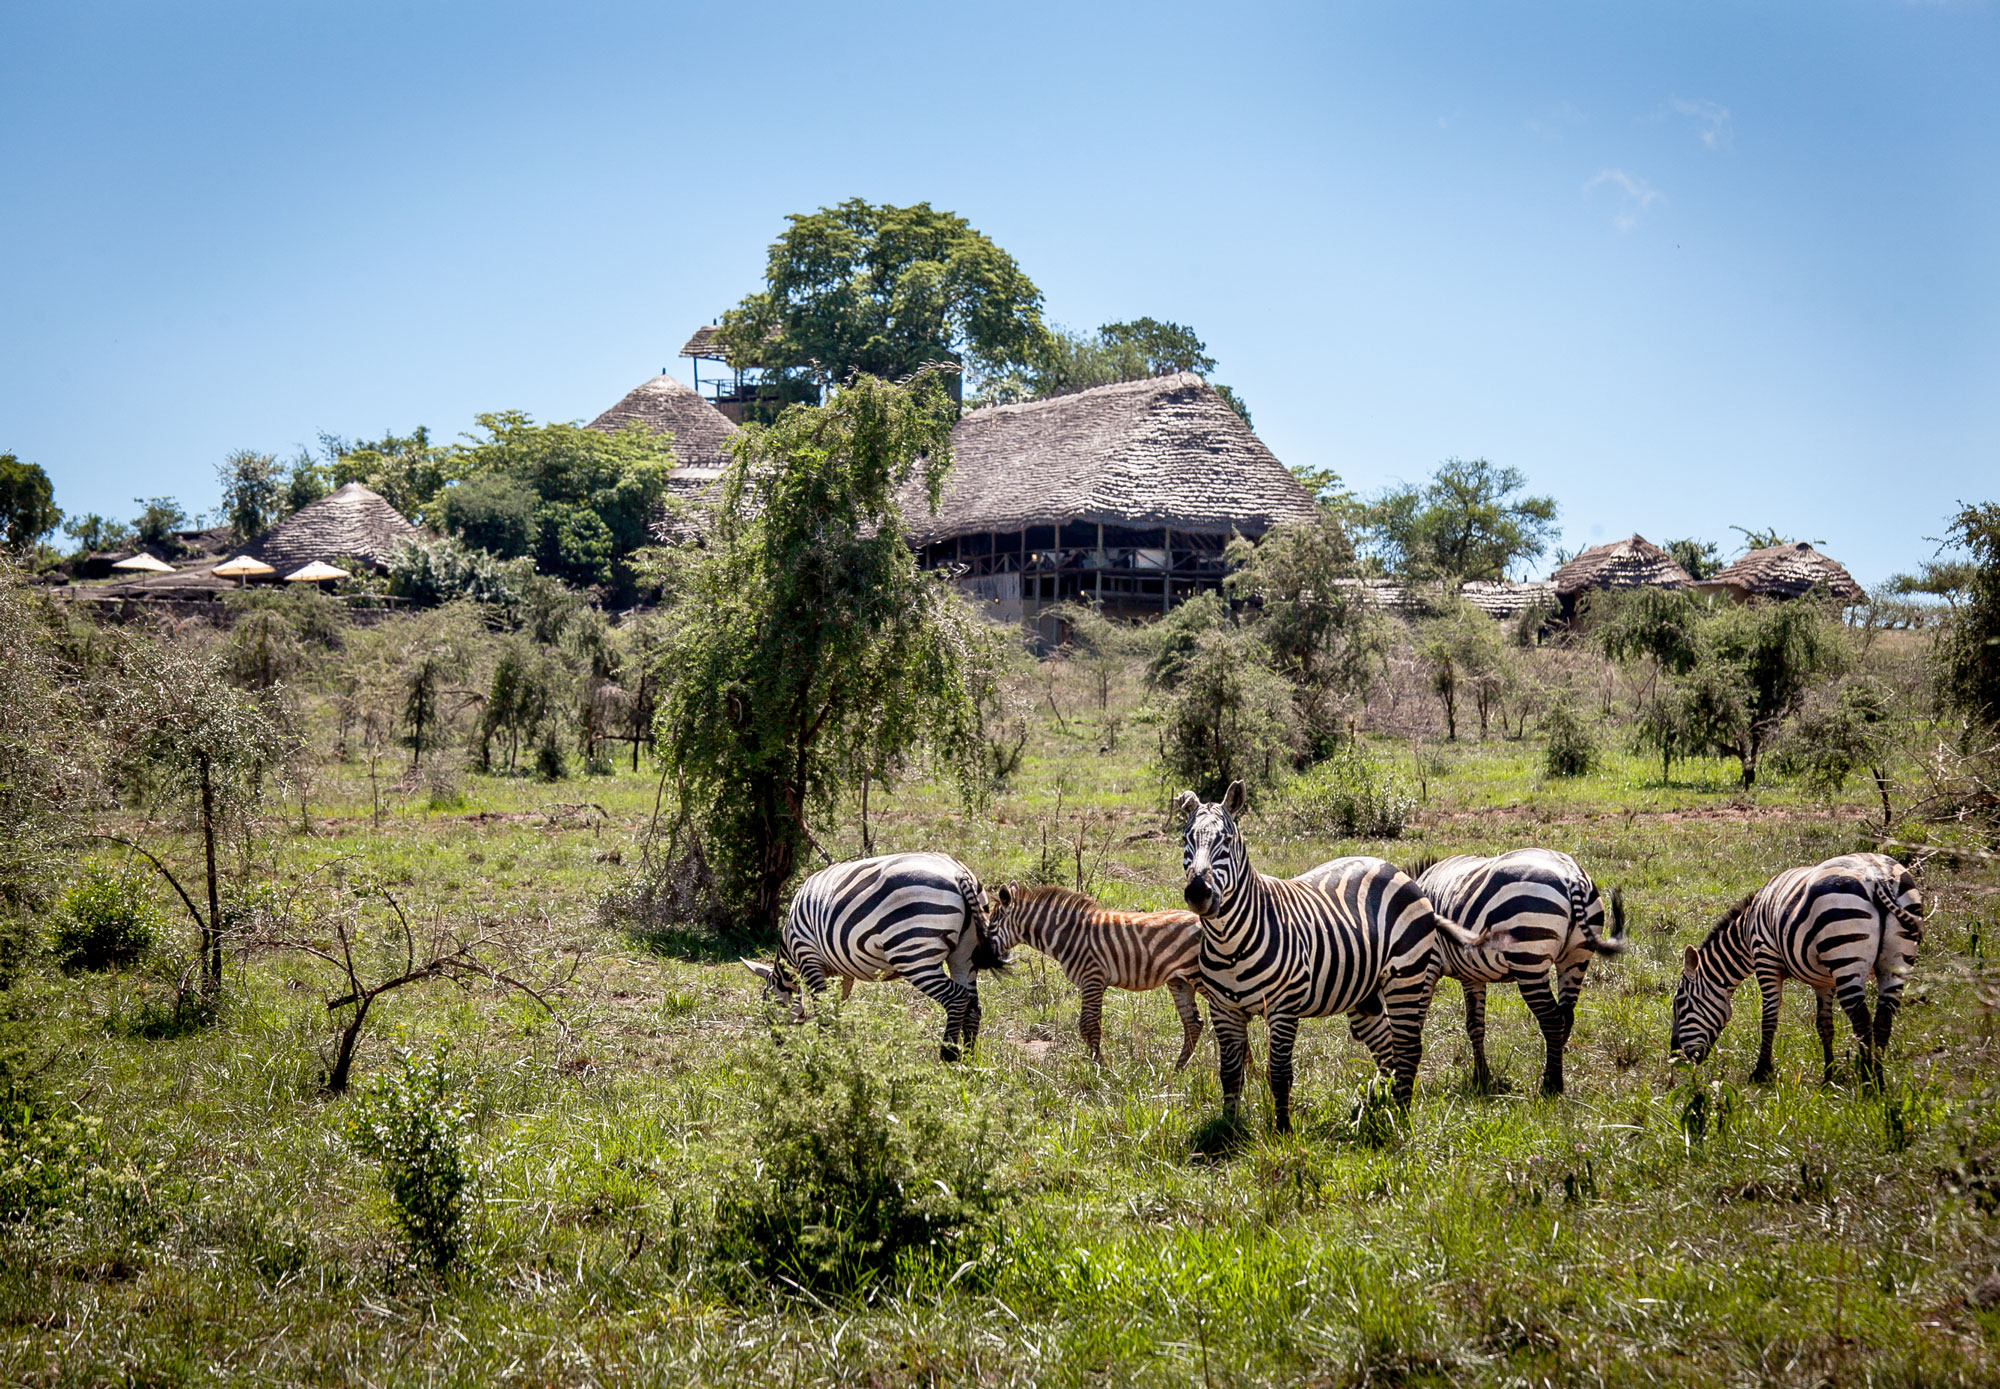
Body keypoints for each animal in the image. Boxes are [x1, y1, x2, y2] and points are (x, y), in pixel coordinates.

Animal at [744, 848, 1008, 1064]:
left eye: (766, 1009)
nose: (780, 1051)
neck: (789, 947)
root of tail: (956, 872)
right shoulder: (840, 971)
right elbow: (836, 1007)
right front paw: (836, 1049)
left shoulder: (808, 956)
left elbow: (823, 1009)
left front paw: (824, 1054)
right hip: (964, 952)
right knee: (973, 1005)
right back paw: (968, 1059)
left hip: (913, 953)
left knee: (957, 998)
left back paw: (948, 1056)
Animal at [988, 888, 1200, 1072]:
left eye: (990, 927)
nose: (984, 958)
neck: (1069, 935)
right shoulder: (1093, 982)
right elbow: (1091, 1024)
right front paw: (1097, 1065)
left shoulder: (1092, 977)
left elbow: (1088, 1025)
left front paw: (1100, 1069)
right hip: (1179, 981)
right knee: (1193, 1023)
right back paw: (1178, 1070)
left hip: (1197, 975)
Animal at [1168, 784, 1488, 1128]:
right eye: (1185, 839)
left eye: (1226, 840)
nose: (1198, 893)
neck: (1229, 943)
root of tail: (1397, 871)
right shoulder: (1224, 1009)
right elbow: (1229, 1074)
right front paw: (1228, 1130)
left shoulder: (1284, 1008)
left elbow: (1279, 1073)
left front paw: (1283, 1132)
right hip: (1366, 995)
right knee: (1387, 1048)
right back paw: (1382, 1108)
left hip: (1406, 977)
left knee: (1408, 1048)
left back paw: (1400, 1117)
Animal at [1408, 848, 1624, 1096]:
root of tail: (1571, 875)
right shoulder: (1471, 974)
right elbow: (1475, 1025)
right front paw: (1481, 1077)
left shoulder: (1429, 964)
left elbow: (1416, 1021)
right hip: (1575, 959)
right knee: (1566, 1017)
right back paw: (1555, 1075)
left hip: (1529, 959)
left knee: (1552, 1019)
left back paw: (1550, 1086)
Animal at [1672, 848, 1920, 1088]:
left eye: (1680, 1002)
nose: (1675, 1055)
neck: (1746, 930)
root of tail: (1877, 877)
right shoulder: (1824, 980)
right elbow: (1824, 1026)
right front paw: (1828, 1078)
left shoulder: (1766, 959)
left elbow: (1769, 1018)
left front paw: (1761, 1073)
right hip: (1894, 963)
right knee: (1883, 1020)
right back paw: (1878, 1080)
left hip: (1846, 956)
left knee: (1861, 1019)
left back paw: (1868, 1081)